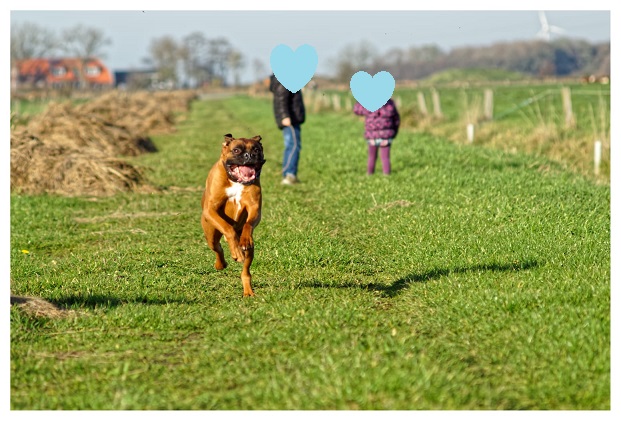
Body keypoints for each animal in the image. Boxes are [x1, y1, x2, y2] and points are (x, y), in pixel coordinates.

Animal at [201, 134, 266, 297]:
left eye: (257, 149)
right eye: (236, 150)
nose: (249, 155)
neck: (236, 181)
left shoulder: (255, 208)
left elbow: (248, 224)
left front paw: (244, 241)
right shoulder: (210, 210)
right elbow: (227, 228)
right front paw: (235, 250)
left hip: (250, 251)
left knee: (245, 272)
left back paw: (248, 291)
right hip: (210, 234)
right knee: (218, 248)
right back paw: (221, 263)